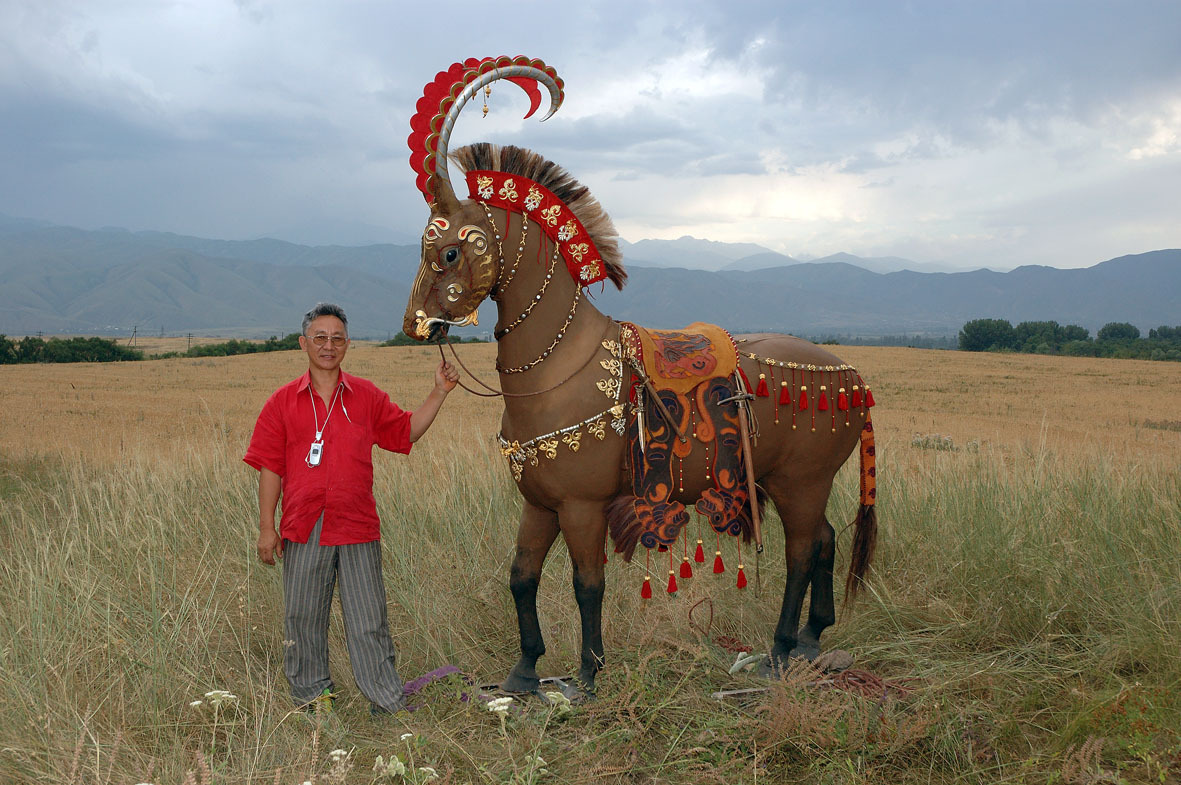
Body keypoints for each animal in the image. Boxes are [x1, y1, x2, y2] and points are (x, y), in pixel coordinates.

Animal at [406, 58, 878, 698]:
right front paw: (524, 672)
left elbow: (586, 584)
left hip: (802, 481)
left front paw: (587, 675)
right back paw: (810, 639)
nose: (414, 324)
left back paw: (781, 648)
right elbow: (522, 576)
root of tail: (852, 375)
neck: (561, 365)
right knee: (826, 540)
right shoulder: (539, 503)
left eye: (451, 252)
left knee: (804, 552)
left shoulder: (582, 505)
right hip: (798, 483)